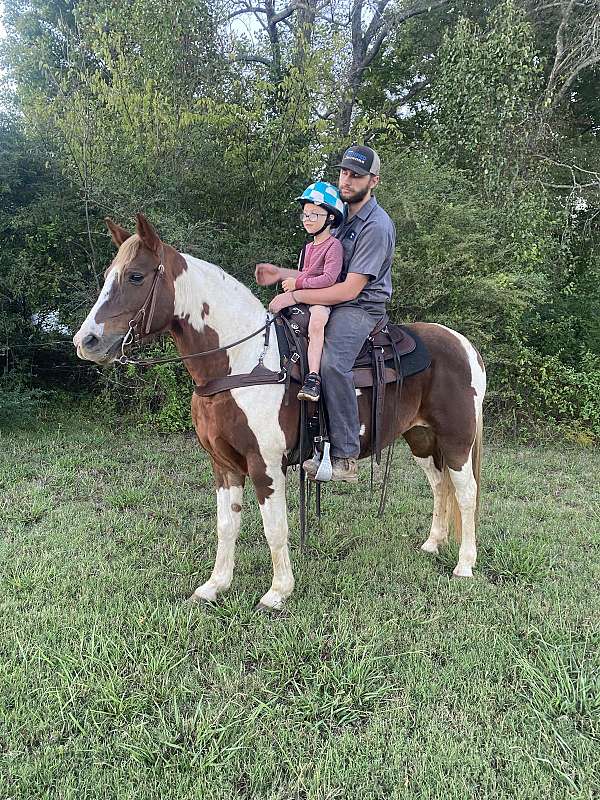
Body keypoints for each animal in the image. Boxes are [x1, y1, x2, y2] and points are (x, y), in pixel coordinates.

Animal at [75, 216, 488, 608]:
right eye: (110, 274)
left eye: (136, 275)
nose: (86, 341)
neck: (242, 362)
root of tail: (463, 344)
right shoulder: (223, 465)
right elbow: (227, 525)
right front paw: (214, 586)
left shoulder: (266, 464)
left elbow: (275, 527)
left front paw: (277, 592)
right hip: (421, 438)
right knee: (439, 485)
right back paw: (432, 544)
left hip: (456, 440)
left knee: (466, 491)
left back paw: (464, 564)